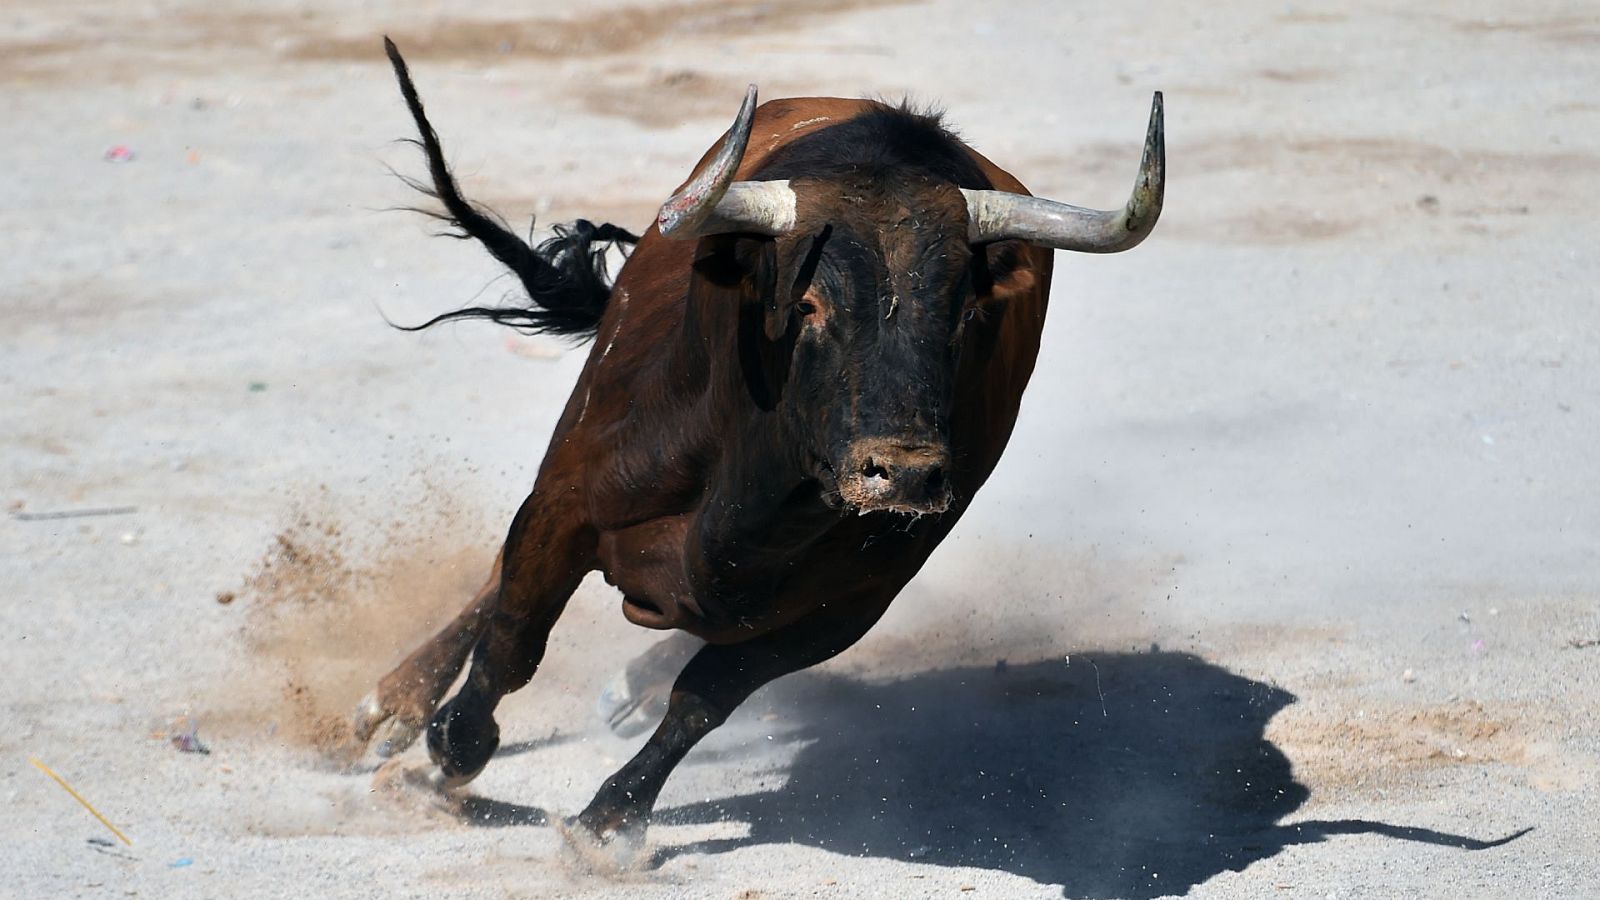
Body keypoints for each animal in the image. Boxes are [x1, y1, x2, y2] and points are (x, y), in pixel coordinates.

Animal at [353, 38, 1164, 851]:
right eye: (806, 304)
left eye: (966, 311)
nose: (902, 475)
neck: (752, 496)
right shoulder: (566, 503)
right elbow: (514, 638)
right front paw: (448, 752)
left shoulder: (847, 606)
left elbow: (705, 698)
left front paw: (610, 823)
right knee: (498, 586)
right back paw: (392, 705)